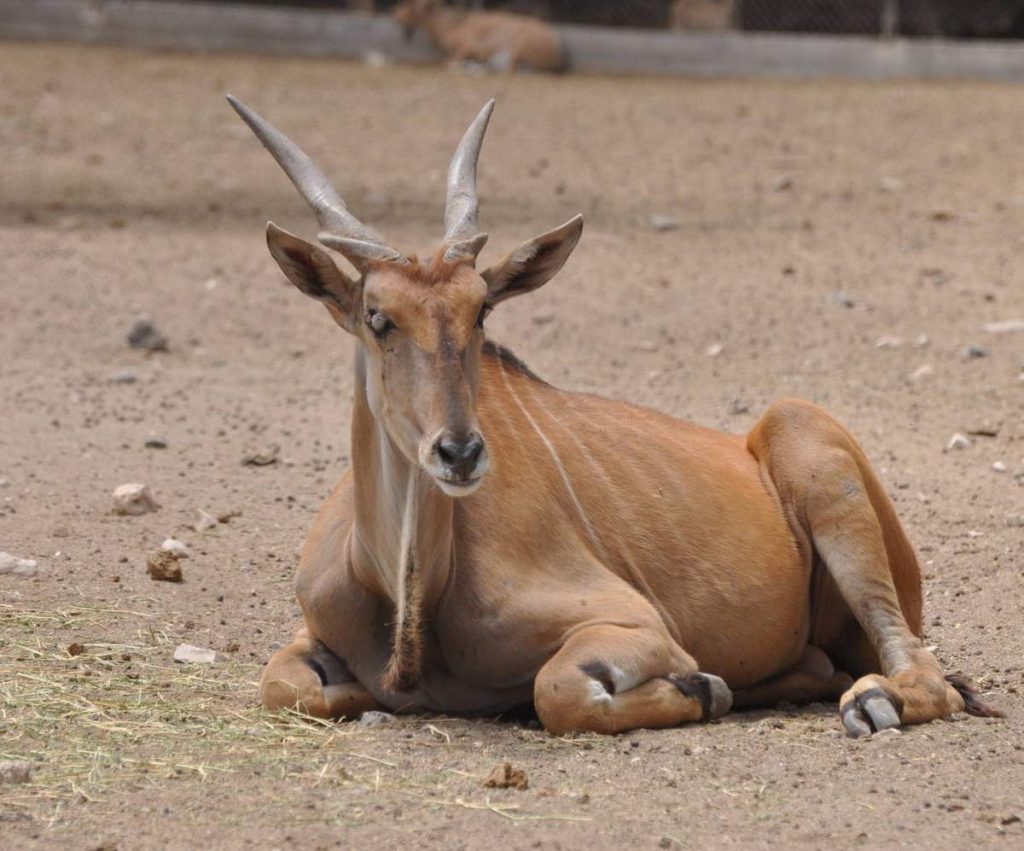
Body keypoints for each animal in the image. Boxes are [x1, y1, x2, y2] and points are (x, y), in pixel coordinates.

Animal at [226, 94, 999, 737]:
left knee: (921, 670)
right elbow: (287, 686)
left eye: (482, 311)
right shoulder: (310, 639)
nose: (460, 452)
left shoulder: (635, 624)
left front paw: (700, 688)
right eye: (378, 316)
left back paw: (873, 699)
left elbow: (558, 690)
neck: (410, 602)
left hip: (811, 447)